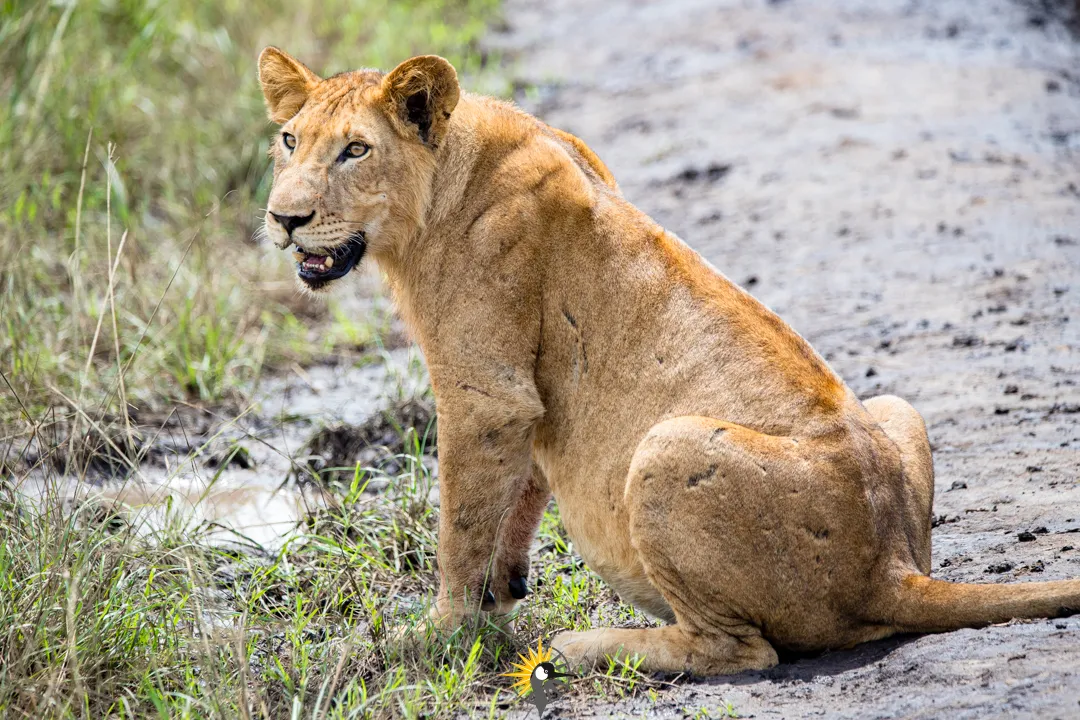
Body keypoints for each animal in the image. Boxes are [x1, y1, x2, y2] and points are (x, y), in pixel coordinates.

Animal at [259, 47, 1080, 673]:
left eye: (356, 150)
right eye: (290, 141)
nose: (284, 218)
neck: (436, 195)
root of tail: (893, 565)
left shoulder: (485, 392)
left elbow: (460, 526)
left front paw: (438, 637)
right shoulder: (528, 404)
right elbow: (516, 499)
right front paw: (499, 602)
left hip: (666, 447)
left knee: (745, 651)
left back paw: (586, 645)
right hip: (893, 408)